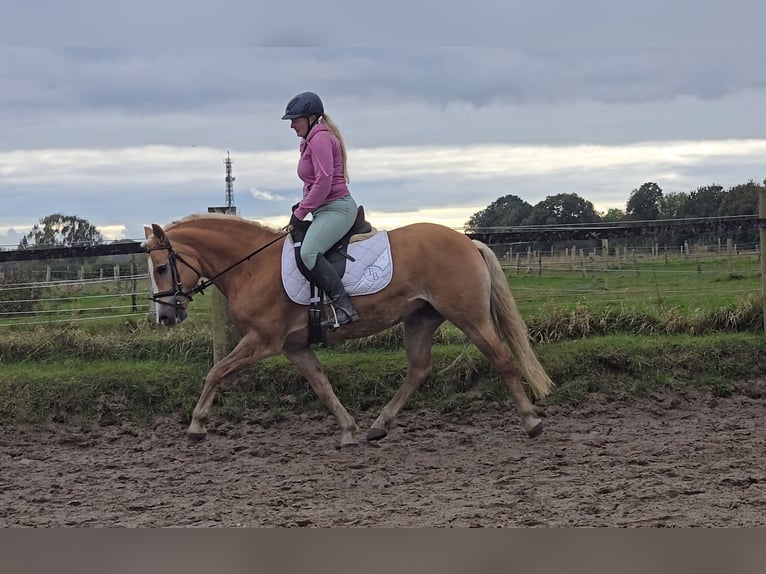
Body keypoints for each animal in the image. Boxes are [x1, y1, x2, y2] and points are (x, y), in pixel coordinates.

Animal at [142, 214, 552, 448]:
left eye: (161, 268)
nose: (164, 316)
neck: (252, 266)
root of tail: (468, 241)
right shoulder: (294, 346)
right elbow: (322, 386)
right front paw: (349, 431)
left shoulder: (262, 341)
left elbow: (216, 372)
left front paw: (196, 427)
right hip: (420, 319)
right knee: (419, 370)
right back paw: (378, 427)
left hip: (470, 317)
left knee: (503, 360)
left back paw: (531, 421)